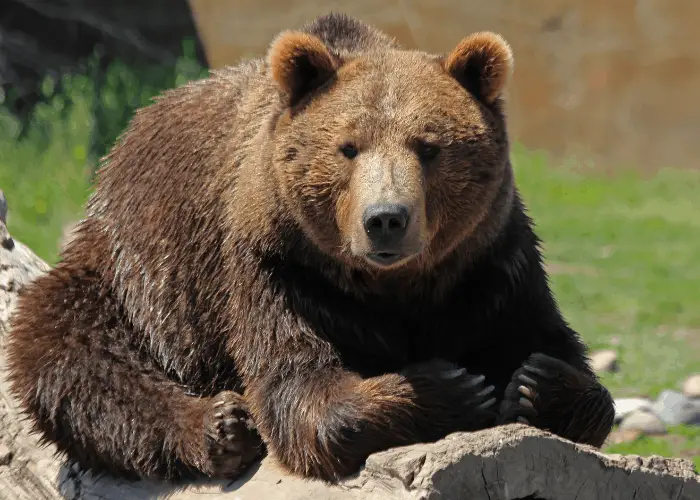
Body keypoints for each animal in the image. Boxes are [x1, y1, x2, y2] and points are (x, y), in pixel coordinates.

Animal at [8, 12, 616, 484]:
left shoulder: (490, 263)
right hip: (132, 273)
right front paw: (448, 388)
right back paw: (220, 426)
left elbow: (553, 347)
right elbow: (300, 387)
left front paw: (538, 383)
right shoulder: (279, 267)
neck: (395, 287)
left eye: (428, 147)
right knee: (68, 350)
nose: (385, 220)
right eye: (348, 147)